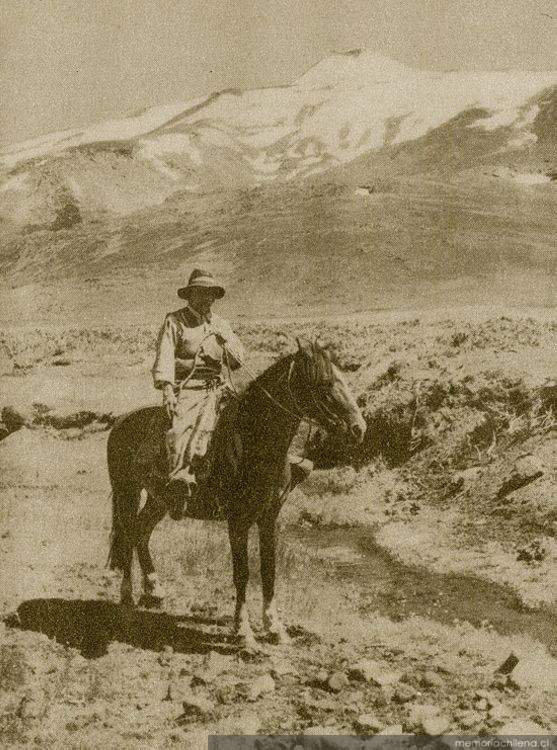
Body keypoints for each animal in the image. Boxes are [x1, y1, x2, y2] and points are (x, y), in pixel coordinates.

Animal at [106, 340, 364, 652]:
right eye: (324, 382)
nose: (359, 428)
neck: (253, 441)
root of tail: (121, 421)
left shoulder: (269, 518)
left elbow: (268, 570)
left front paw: (274, 628)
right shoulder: (238, 521)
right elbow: (242, 574)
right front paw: (244, 632)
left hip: (160, 500)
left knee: (142, 533)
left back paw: (154, 590)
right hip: (127, 492)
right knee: (129, 536)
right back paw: (127, 600)